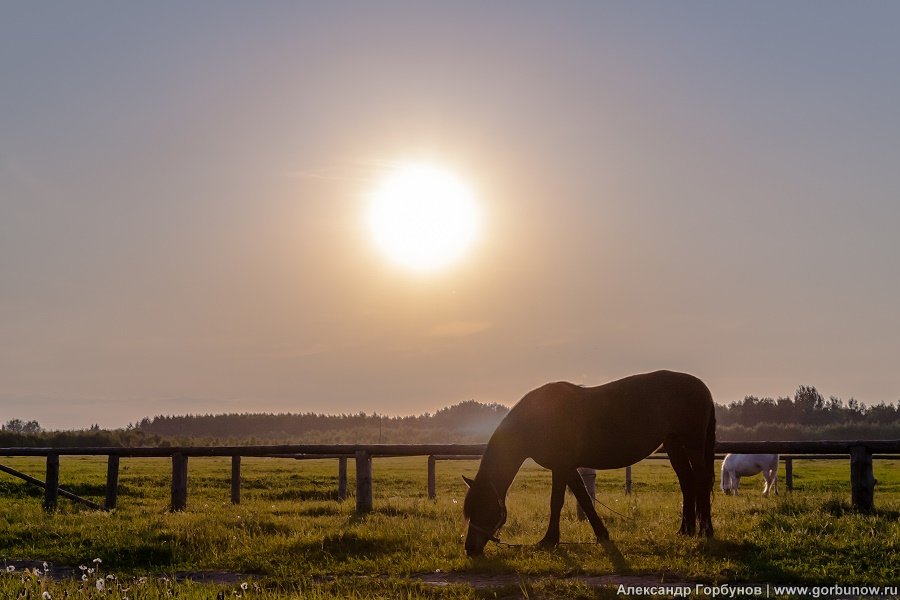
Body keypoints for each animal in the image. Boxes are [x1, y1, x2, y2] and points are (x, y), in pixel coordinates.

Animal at [460, 370, 712, 556]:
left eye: (484, 508)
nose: (470, 549)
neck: (537, 419)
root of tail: (701, 387)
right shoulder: (568, 467)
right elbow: (584, 499)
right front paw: (602, 535)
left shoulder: (561, 467)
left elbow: (556, 502)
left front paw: (549, 541)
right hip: (673, 445)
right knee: (687, 483)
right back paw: (685, 531)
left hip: (693, 445)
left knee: (701, 483)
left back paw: (706, 531)